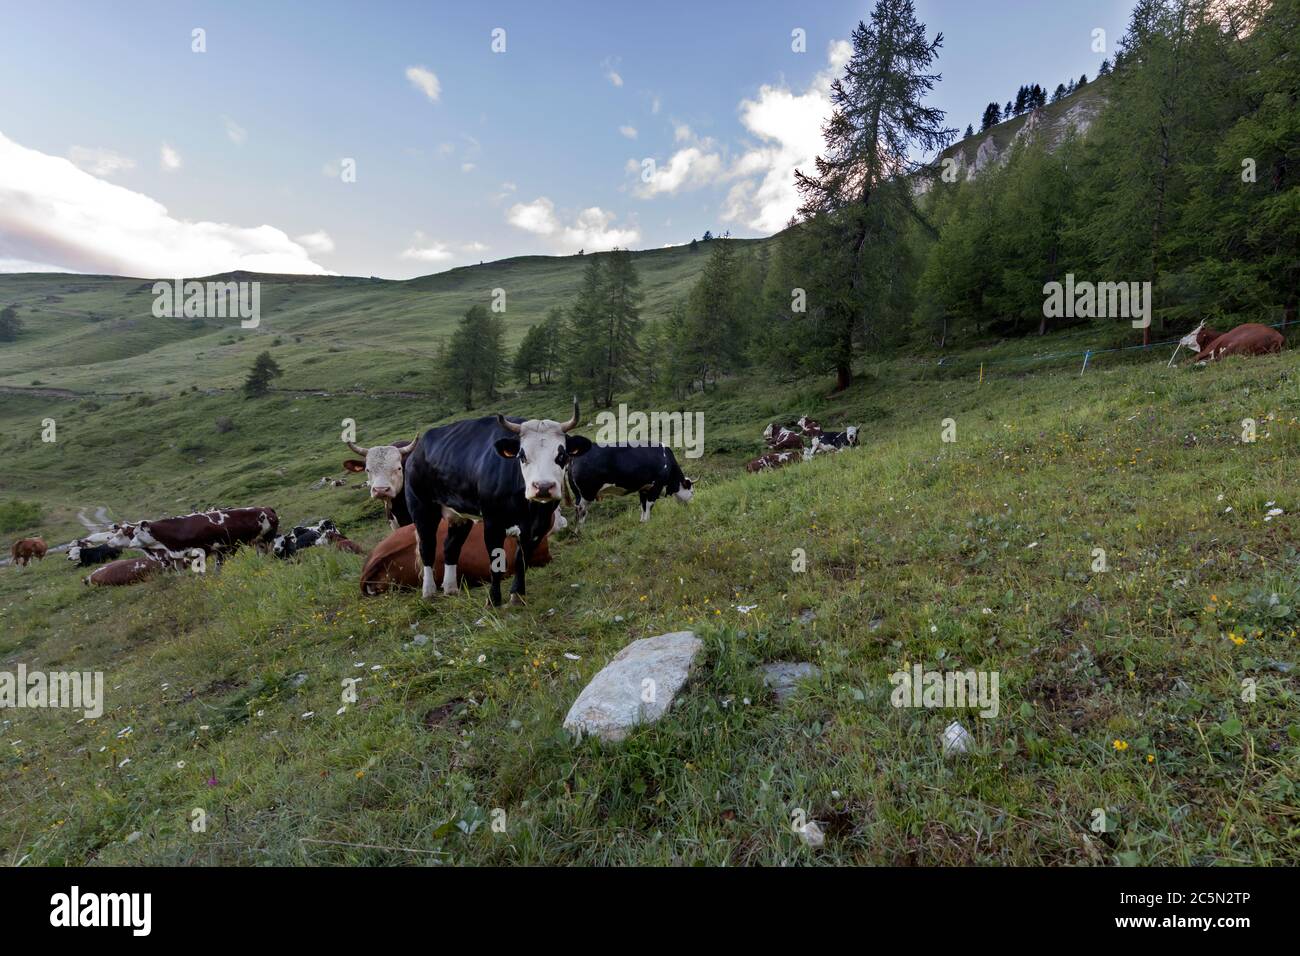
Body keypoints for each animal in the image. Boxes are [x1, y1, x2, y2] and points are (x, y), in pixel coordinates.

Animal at [107, 507, 278, 557]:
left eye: (136, 533)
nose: (131, 544)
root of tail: (266, 508)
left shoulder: (204, 551)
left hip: (268, 539)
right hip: (258, 542)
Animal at [403, 400, 590, 606]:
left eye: (562, 455)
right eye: (522, 455)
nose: (542, 487)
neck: (527, 507)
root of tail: (417, 451)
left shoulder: (539, 524)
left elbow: (522, 558)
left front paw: (517, 595)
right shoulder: (493, 522)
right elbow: (496, 560)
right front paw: (493, 599)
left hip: (459, 516)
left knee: (450, 547)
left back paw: (451, 588)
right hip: (422, 509)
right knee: (427, 547)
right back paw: (429, 591)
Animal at [564, 443, 693, 526]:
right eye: (692, 492)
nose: (691, 505)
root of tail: (574, 457)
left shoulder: (644, 488)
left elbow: (643, 505)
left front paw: (642, 520)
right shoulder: (657, 485)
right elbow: (650, 504)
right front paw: (648, 521)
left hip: (578, 494)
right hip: (586, 494)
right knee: (581, 512)